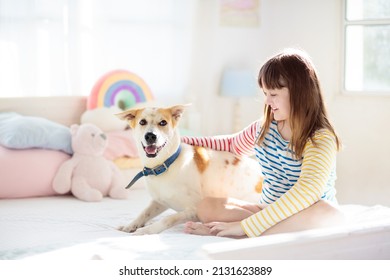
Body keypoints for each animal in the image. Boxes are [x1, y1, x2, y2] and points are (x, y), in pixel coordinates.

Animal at [116, 105, 262, 234]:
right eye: (142, 122)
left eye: (163, 122)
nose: (150, 136)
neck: (165, 165)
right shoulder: (160, 201)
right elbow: (144, 212)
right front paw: (131, 225)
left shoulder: (193, 210)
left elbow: (168, 219)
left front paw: (147, 230)